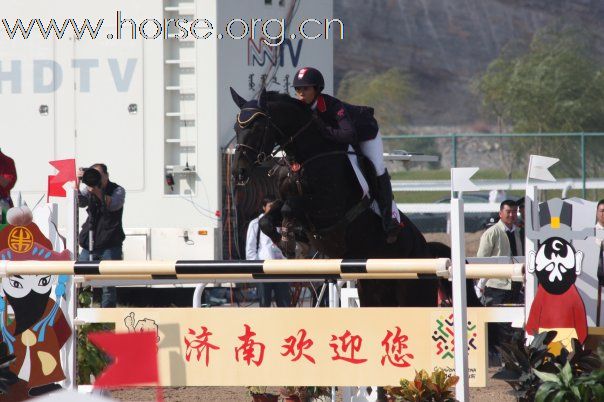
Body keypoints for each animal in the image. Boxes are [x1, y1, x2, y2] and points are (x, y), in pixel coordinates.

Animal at [229, 88, 436, 304]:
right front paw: (290, 242)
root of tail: (426, 248)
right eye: (236, 128)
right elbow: (267, 220)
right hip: (372, 291)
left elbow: (290, 208)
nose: (238, 172)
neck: (304, 159)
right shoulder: (286, 201)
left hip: (413, 293)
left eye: (257, 128)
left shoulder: (329, 210)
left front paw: (292, 241)